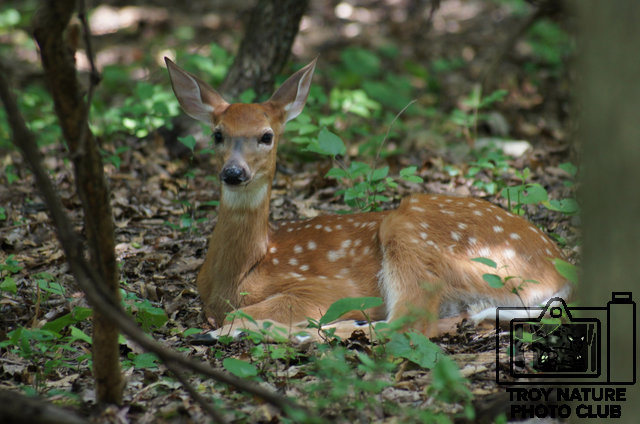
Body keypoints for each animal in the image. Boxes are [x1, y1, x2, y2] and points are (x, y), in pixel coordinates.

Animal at [164, 56, 570, 341]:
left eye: (267, 135)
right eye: (217, 134)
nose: (234, 173)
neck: (242, 272)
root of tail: (560, 273)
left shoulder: (322, 288)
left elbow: (242, 314)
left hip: (410, 232)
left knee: (409, 324)